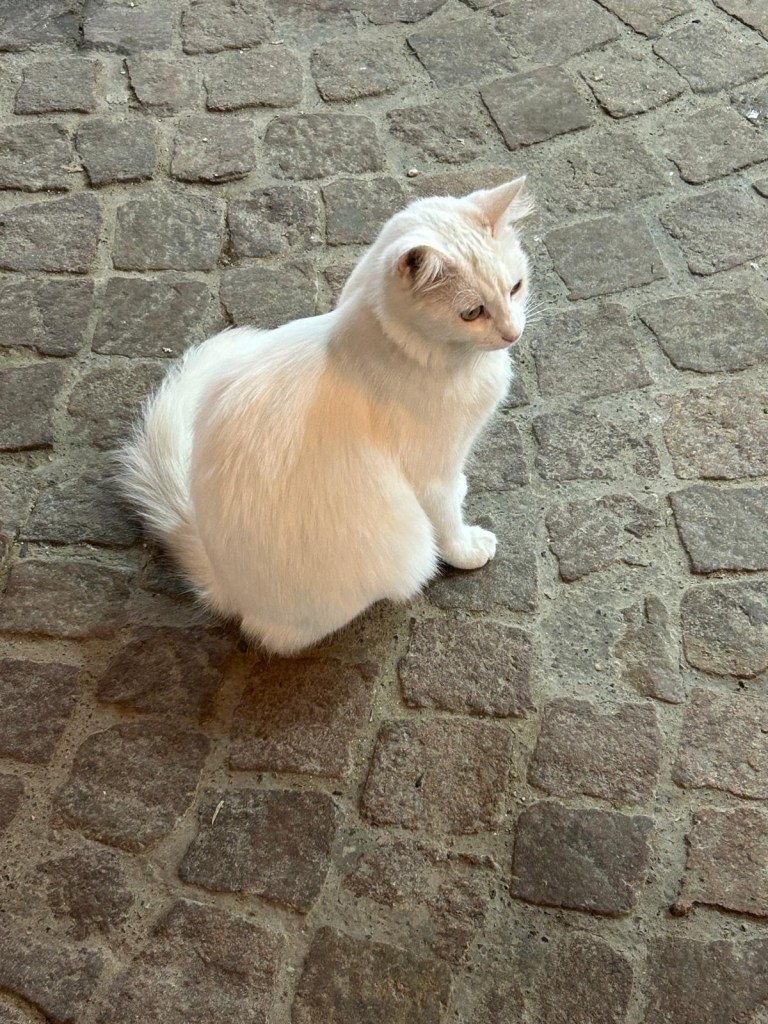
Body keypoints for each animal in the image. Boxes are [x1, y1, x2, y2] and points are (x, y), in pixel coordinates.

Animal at [120, 177, 533, 655]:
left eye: (516, 287)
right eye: (471, 312)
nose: (513, 333)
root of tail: (223, 582)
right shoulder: (433, 474)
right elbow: (448, 521)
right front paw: (467, 549)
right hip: (399, 548)